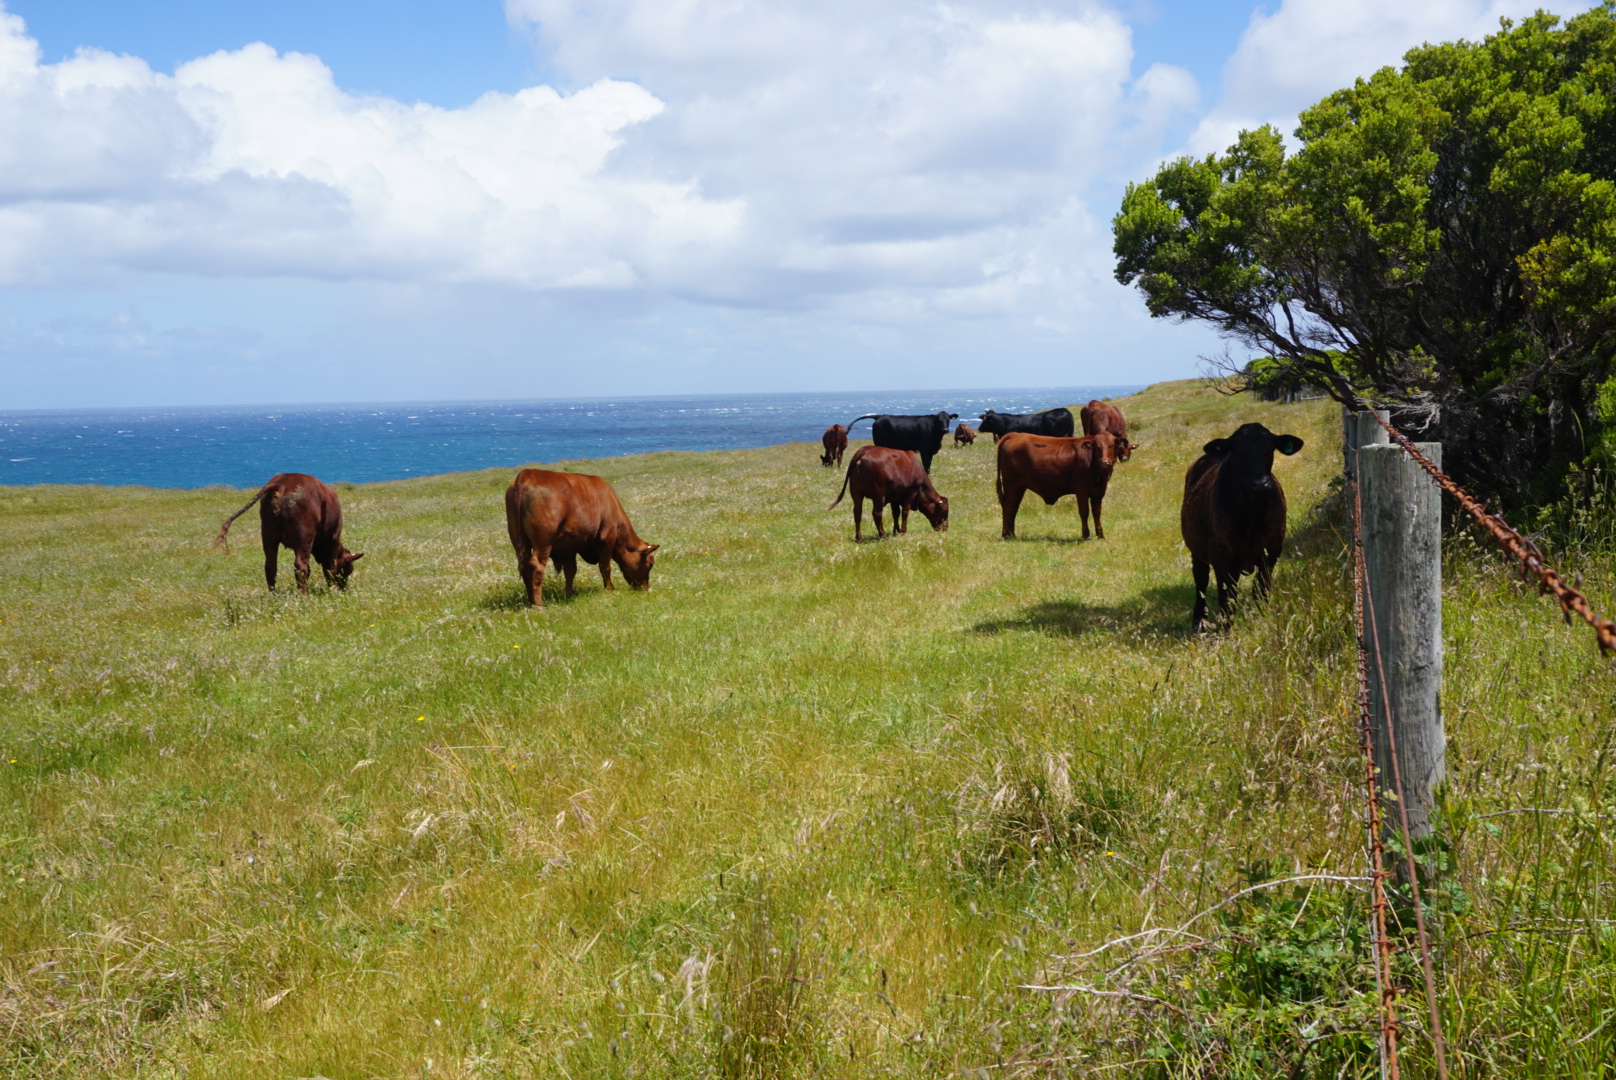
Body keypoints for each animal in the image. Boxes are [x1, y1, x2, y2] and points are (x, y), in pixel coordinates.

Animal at [216, 468, 361, 591]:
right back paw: (304, 596)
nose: (343, 588)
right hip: (304, 536)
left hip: (268, 535)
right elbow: (330, 566)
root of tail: (281, 483)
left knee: (271, 566)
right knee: (300, 566)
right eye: (348, 569)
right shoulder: (334, 537)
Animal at [504, 468, 656, 611]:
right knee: (536, 567)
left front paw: (569, 593)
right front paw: (610, 588)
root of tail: (526, 474)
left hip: (519, 541)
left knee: (524, 567)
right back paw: (539, 604)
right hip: (543, 543)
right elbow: (605, 566)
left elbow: (570, 571)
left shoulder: (568, 547)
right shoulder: (607, 537)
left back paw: (531, 601)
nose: (646, 588)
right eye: (650, 563)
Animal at [988, 430, 1131, 540]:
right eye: (1097, 447)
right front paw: (1086, 535)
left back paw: (1012, 534)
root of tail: (1015, 434)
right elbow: (1084, 512)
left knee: (1013, 508)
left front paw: (1100, 535)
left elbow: (1097, 513)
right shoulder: (1081, 490)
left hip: (1019, 487)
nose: (1104, 462)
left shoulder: (1098, 492)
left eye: (1111, 445)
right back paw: (1006, 535)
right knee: (1008, 508)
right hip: (1012, 485)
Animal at [1182, 420, 1305, 627]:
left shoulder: (1272, 548)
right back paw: (1199, 621)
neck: (1251, 513)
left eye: (1269, 450)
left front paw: (1264, 616)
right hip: (1197, 551)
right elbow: (1226, 597)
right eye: (1239, 453)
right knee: (1201, 581)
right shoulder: (1220, 554)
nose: (1260, 483)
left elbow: (1261, 588)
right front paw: (1226, 628)